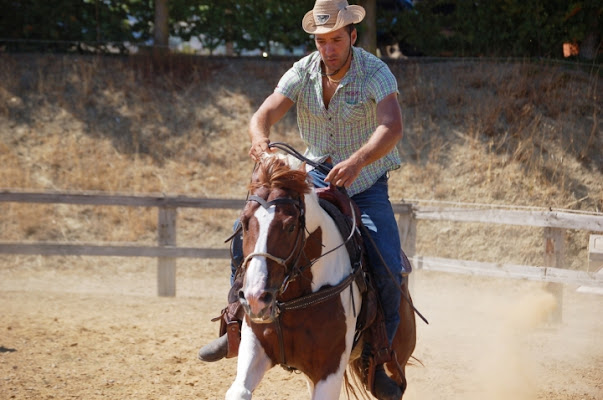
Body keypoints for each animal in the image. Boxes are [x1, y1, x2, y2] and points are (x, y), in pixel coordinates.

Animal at [224, 152, 418, 398]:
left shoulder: (329, 370)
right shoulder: (254, 346)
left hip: (396, 360)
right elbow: (238, 391)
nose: (255, 299)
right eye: (245, 222)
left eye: (290, 226)